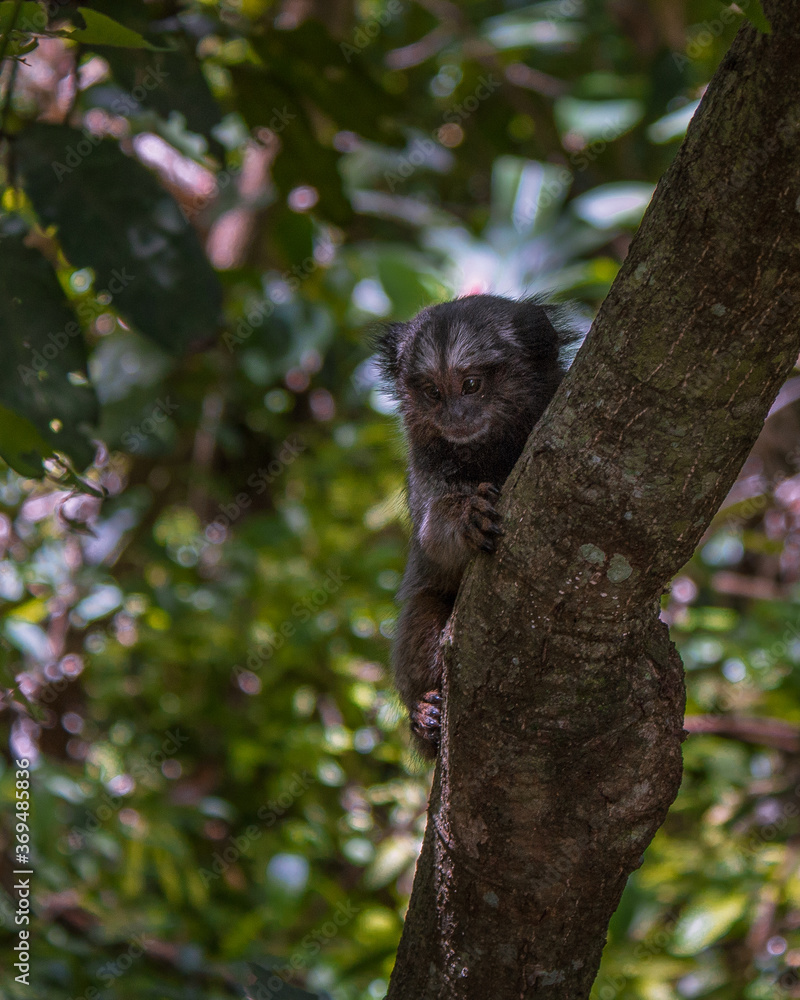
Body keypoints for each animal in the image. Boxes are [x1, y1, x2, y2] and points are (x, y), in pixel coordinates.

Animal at [376, 294, 577, 756]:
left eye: (471, 385)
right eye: (433, 392)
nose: (454, 415)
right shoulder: (426, 468)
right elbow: (433, 535)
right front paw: (469, 517)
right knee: (424, 606)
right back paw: (425, 717)